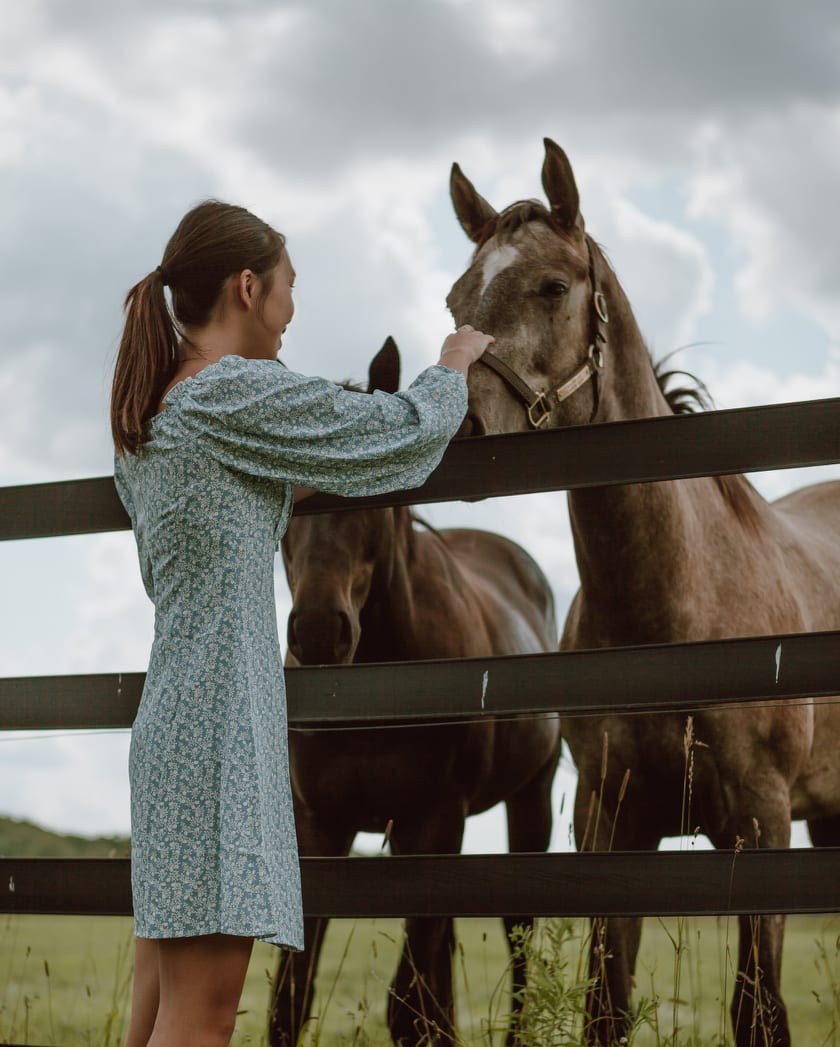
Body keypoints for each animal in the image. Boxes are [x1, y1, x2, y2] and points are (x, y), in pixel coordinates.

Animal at [264, 337, 561, 1047]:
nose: (319, 633)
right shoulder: (321, 826)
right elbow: (293, 995)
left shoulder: (434, 819)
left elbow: (418, 1005)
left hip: (527, 800)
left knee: (515, 936)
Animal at [448, 139, 837, 1047]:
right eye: (456, 296)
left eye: (553, 286)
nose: (460, 427)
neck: (672, 617)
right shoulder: (609, 825)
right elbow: (608, 1004)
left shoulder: (762, 825)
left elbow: (757, 1011)